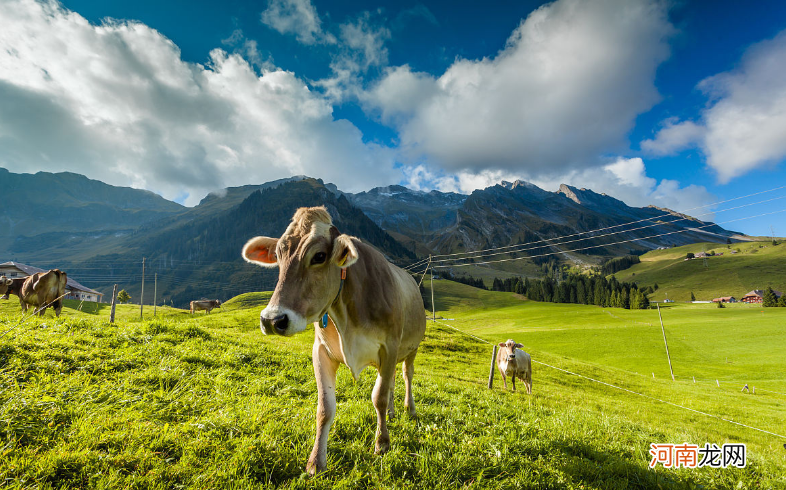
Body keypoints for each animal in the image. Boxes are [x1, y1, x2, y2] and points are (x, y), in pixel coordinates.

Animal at [242, 205, 426, 472]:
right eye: (278, 255)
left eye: (319, 256)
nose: (272, 320)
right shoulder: (321, 351)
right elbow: (325, 408)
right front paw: (316, 461)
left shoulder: (389, 347)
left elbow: (378, 397)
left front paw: (382, 443)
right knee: (391, 381)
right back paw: (392, 414)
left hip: (412, 348)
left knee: (406, 376)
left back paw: (408, 409)